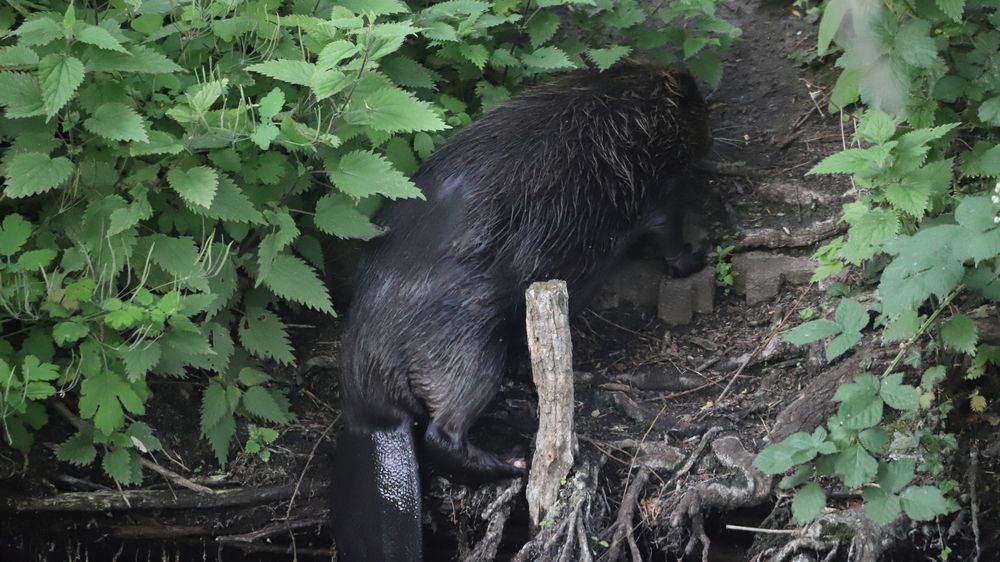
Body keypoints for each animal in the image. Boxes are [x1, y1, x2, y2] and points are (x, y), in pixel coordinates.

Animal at [332, 59, 708, 556]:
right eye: (697, 102)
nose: (705, 96)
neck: (631, 106)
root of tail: (371, 412)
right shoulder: (661, 191)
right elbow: (668, 238)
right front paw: (698, 255)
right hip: (467, 350)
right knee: (442, 433)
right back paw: (511, 460)